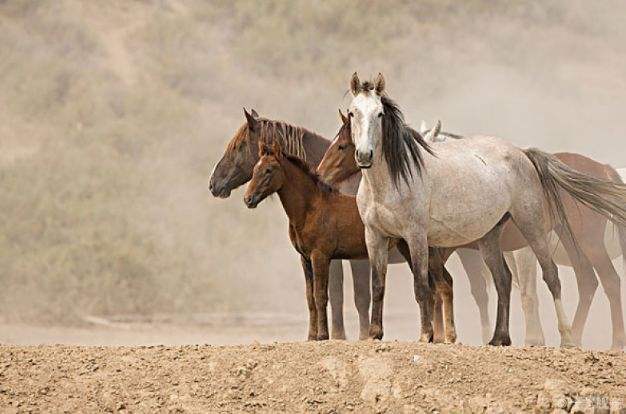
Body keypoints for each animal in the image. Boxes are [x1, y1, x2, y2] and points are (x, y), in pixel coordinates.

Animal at [241, 141, 450, 342]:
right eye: (255, 169)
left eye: (269, 170)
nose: (248, 199)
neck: (311, 209)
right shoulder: (305, 259)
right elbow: (310, 298)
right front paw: (311, 336)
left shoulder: (320, 256)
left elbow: (320, 295)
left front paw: (322, 336)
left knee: (440, 286)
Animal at [316, 114, 624, 350]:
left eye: (342, 145)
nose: (320, 174)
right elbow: (455, 287)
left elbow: (446, 286)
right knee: (585, 281)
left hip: (572, 241)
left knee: (593, 280)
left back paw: (593, 339)